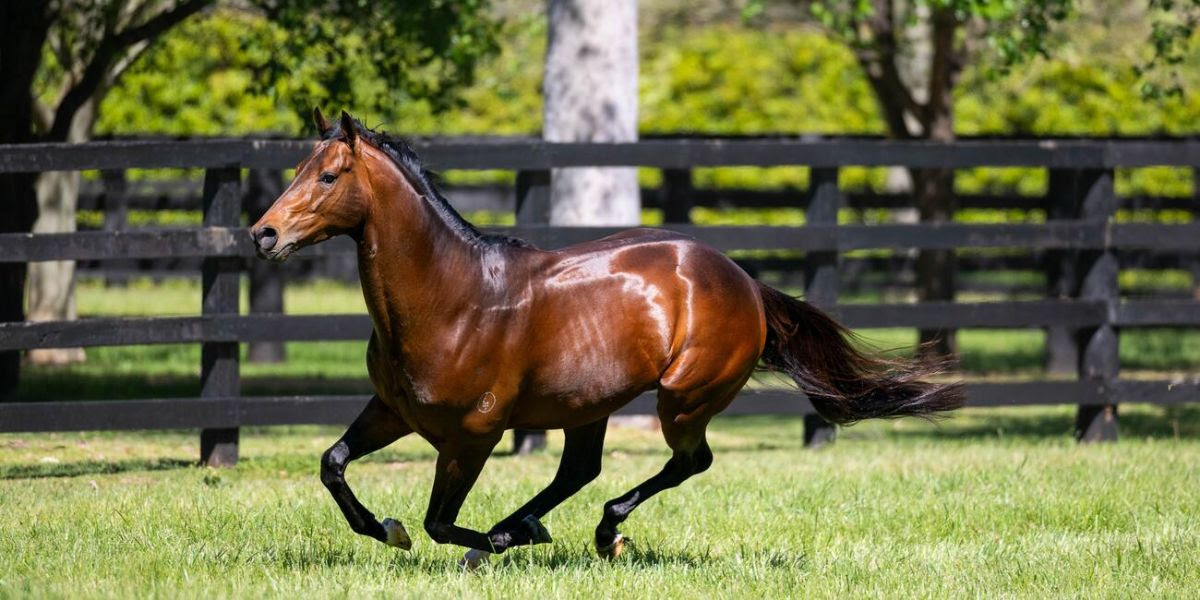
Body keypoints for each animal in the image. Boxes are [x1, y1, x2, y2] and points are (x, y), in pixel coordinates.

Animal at [250, 109, 964, 566]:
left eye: (328, 176)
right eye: (298, 169)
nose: (263, 235)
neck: (453, 299)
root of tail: (742, 280)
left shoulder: (474, 433)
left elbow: (439, 522)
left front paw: (485, 545)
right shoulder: (394, 410)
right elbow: (334, 464)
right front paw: (386, 529)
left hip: (684, 398)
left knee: (688, 462)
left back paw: (595, 531)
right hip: (586, 405)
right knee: (582, 468)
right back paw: (535, 524)